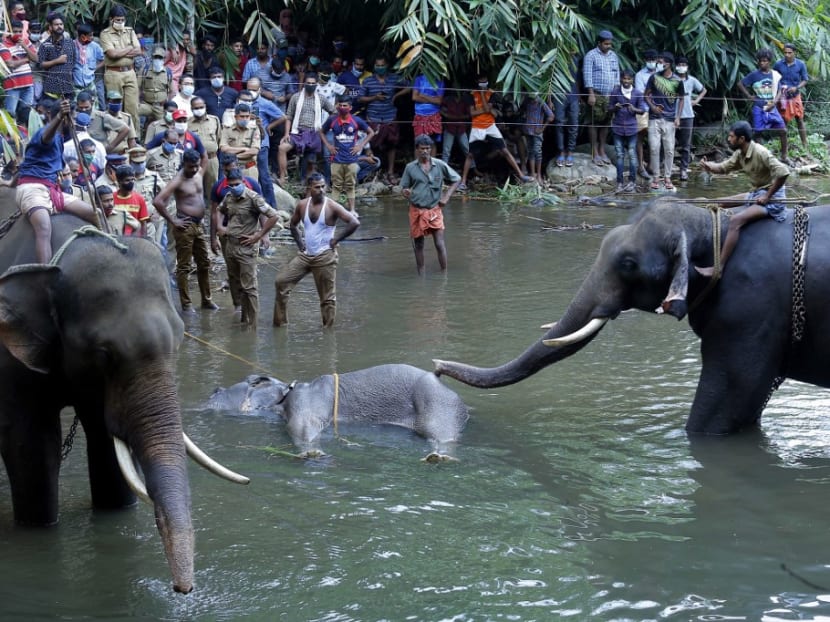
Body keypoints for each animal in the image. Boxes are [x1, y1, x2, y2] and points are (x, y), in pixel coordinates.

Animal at [0, 211, 249, 594]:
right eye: (104, 354)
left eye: (180, 339)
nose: (183, 590)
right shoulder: (11, 362)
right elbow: (32, 446)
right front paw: (38, 529)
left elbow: (105, 444)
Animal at [208, 365, 470, 460]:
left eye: (218, 391)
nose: (213, 390)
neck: (284, 392)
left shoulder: (304, 405)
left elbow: (303, 428)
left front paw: (312, 453)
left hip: (437, 405)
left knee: (442, 436)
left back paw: (439, 457)